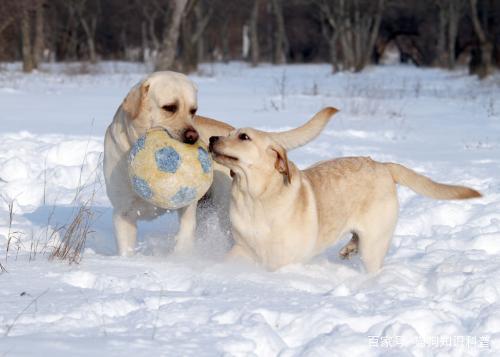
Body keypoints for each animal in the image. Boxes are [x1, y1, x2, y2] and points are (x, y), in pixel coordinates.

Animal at [209, 107, 482, 272]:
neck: (254, 197)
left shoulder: (284, 260)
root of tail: (384, 166)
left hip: (374, 243)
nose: (211, 138)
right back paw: (349, 249)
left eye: (243, 137)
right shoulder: (243, 249)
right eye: (228, 133)